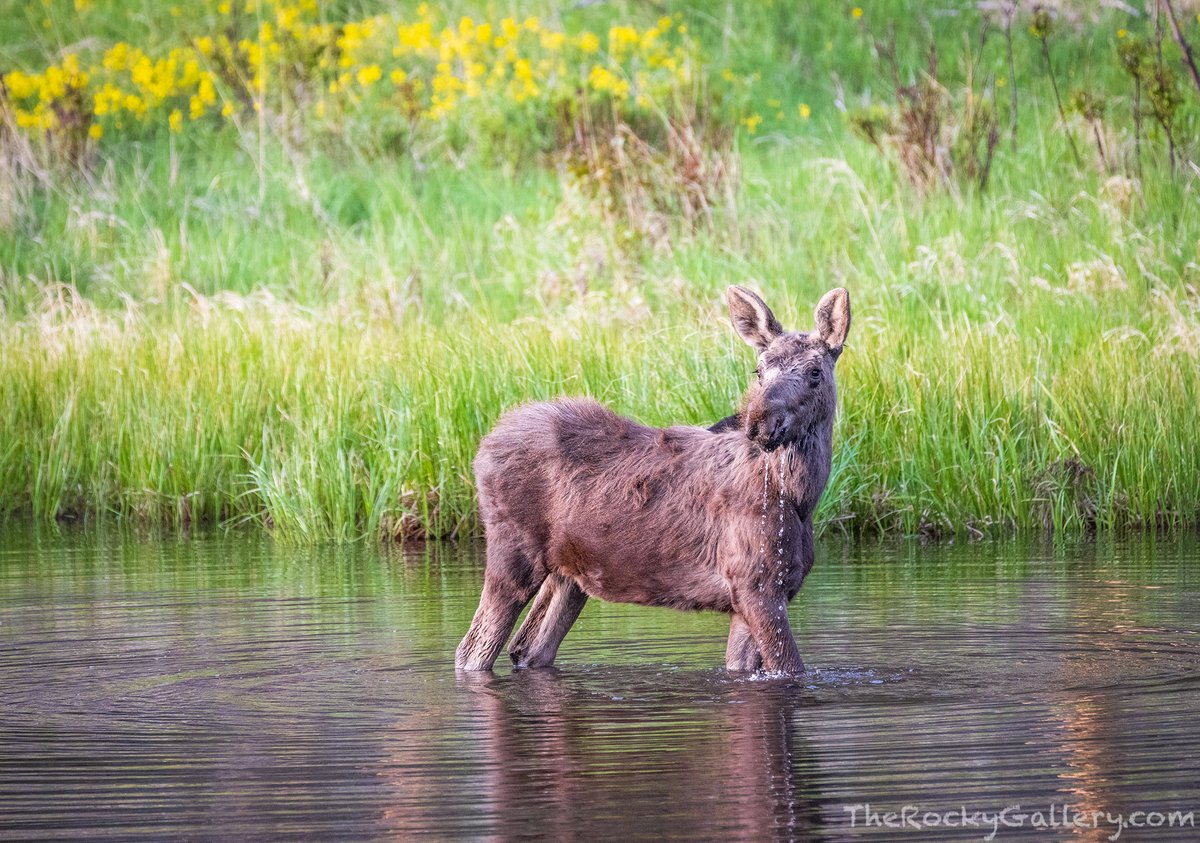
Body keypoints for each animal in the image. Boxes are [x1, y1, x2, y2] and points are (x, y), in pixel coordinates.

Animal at [455, 286, 851, 675]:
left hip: (570, 574)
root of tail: (484, 445)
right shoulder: (754, 584)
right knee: (473, 649)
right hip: (512, 553)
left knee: (528, 647)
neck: (798, 499)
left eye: (815, 372)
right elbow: (792, 669)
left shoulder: (764, 592)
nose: (759, 422)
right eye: (759, 369)